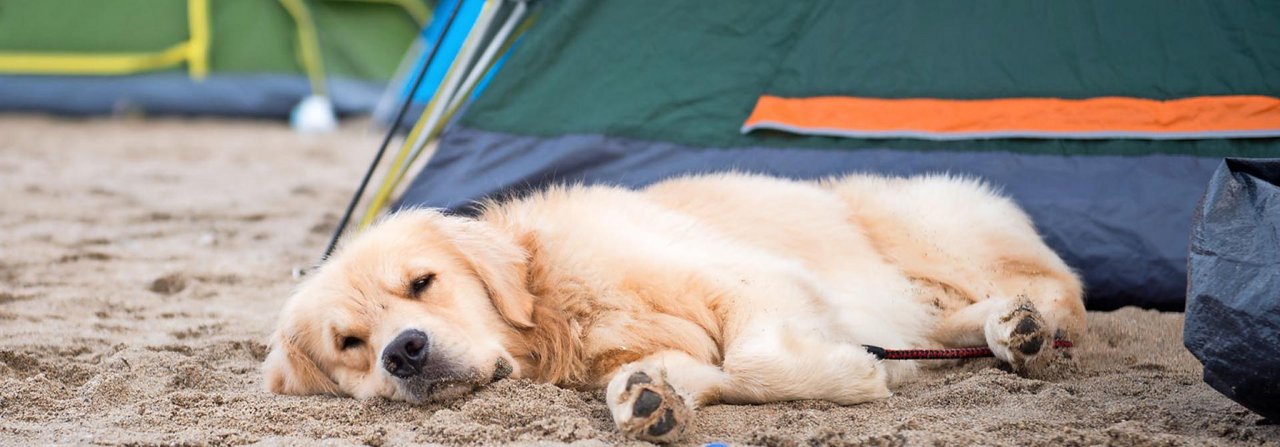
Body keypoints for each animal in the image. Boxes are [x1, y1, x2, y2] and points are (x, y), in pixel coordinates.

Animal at [264, 172, 1085, 440]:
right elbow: (681, 373)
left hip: (925, 227)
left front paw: (855, 373)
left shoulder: (752, 277)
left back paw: (1031, 328)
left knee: (1058, 289)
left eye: (422, 282)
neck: (557, 304)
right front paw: (649, 398)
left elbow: (756, 358)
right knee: (953, 324)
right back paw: (1008, 331)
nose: (403, 351)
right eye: (350, 342)